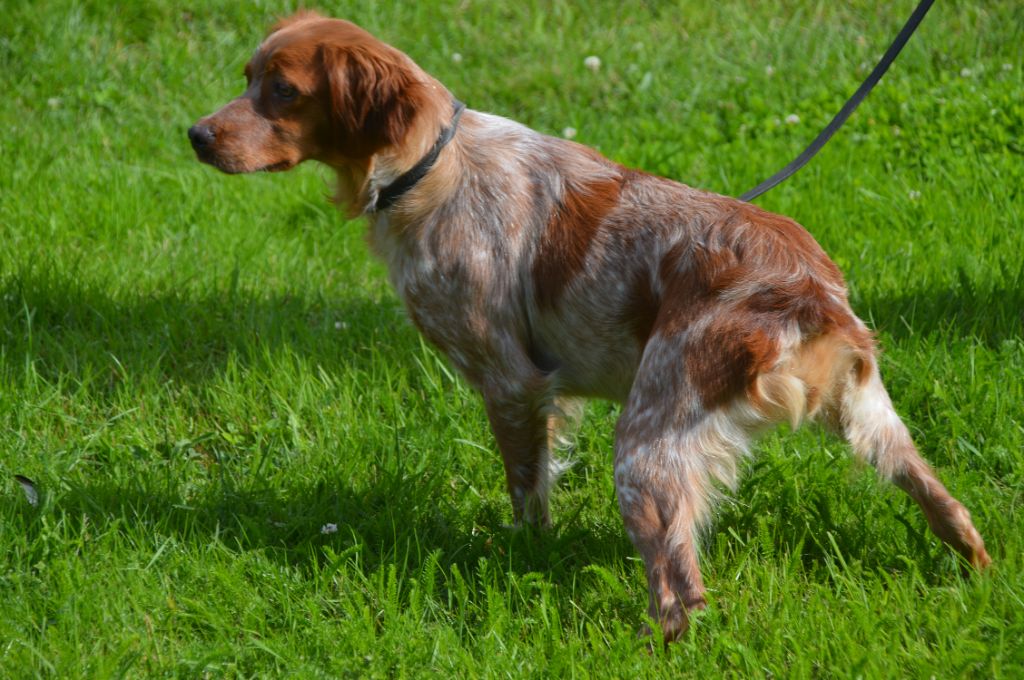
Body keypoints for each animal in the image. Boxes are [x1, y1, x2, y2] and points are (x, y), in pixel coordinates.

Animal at [188, 11, 987, 643]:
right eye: (248, 76)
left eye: (283, 91)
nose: (195, 134)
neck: (428, 168)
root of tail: (810, 292)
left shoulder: (511, 382)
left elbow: (527, 495)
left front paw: (525, 556)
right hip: (873, 420)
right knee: (946, 504)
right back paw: (978, 571)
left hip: (646, 446)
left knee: (681, 592)